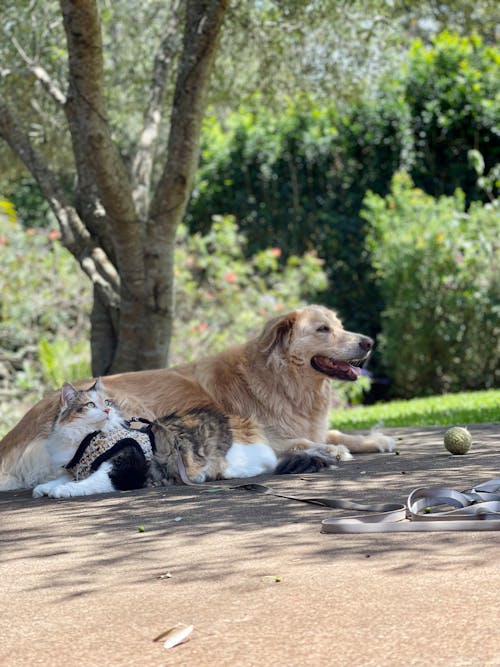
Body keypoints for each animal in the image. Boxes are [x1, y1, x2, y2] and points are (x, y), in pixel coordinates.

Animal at [0, 306, 394, 490]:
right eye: (323, 329)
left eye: (339, 326)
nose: (369, 342)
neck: (283, 377)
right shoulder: (263, 430)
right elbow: (299, 442)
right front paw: (327, 450)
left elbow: (338, 433)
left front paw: (374, 440)